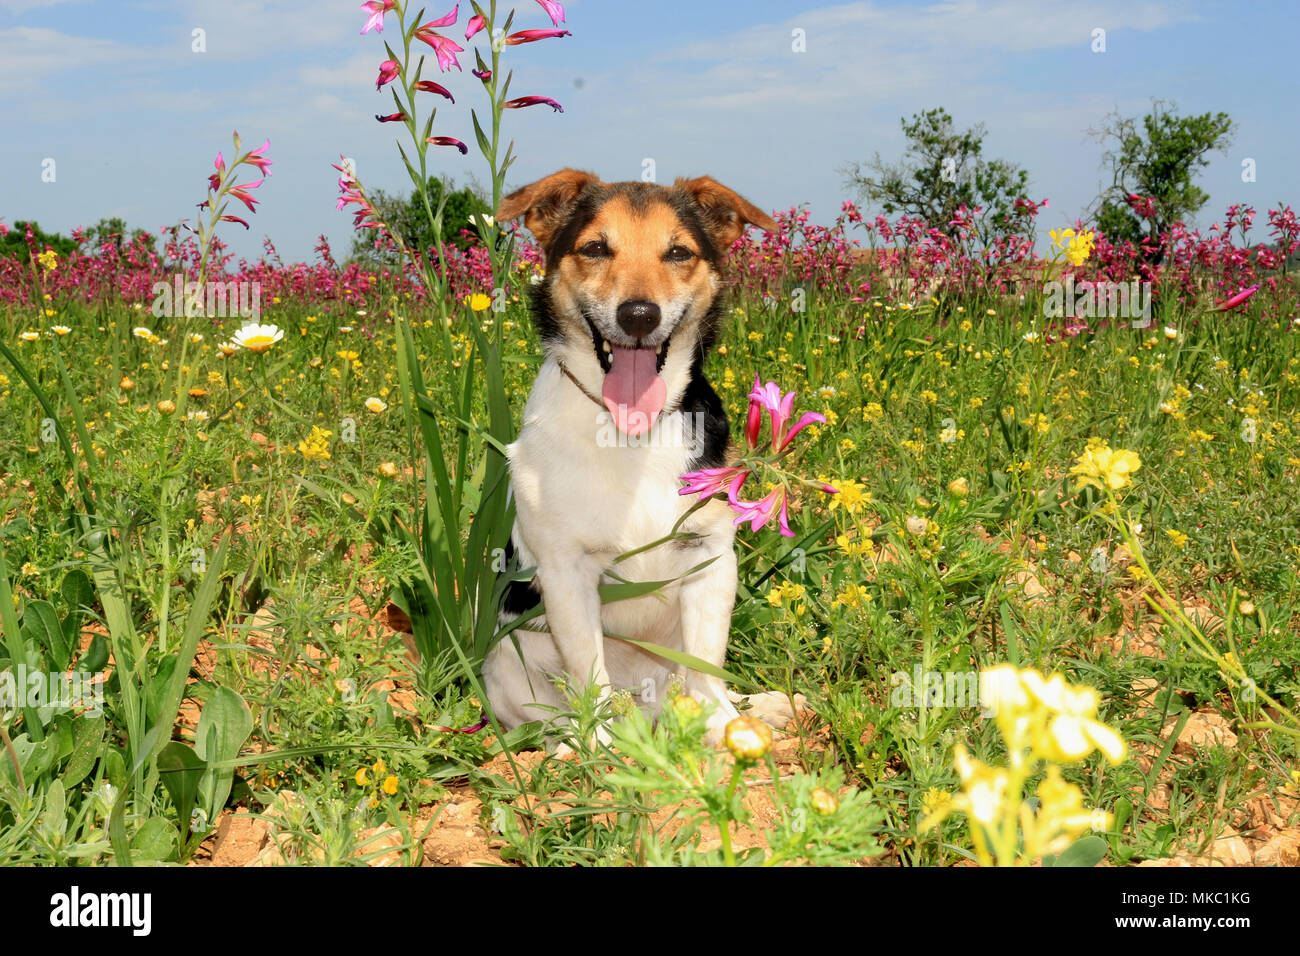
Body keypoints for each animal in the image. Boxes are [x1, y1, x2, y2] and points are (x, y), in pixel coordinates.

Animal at [483, 170, 795, 749]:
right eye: (594, 248)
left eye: (678, 252)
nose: (639, 315)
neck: (631, 436)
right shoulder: (566, 573)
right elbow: (590, 672)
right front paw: (602, 749)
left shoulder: (710, 557)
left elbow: (706, 669)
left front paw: (725, 729)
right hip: (508, 669)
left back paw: (765, 705)